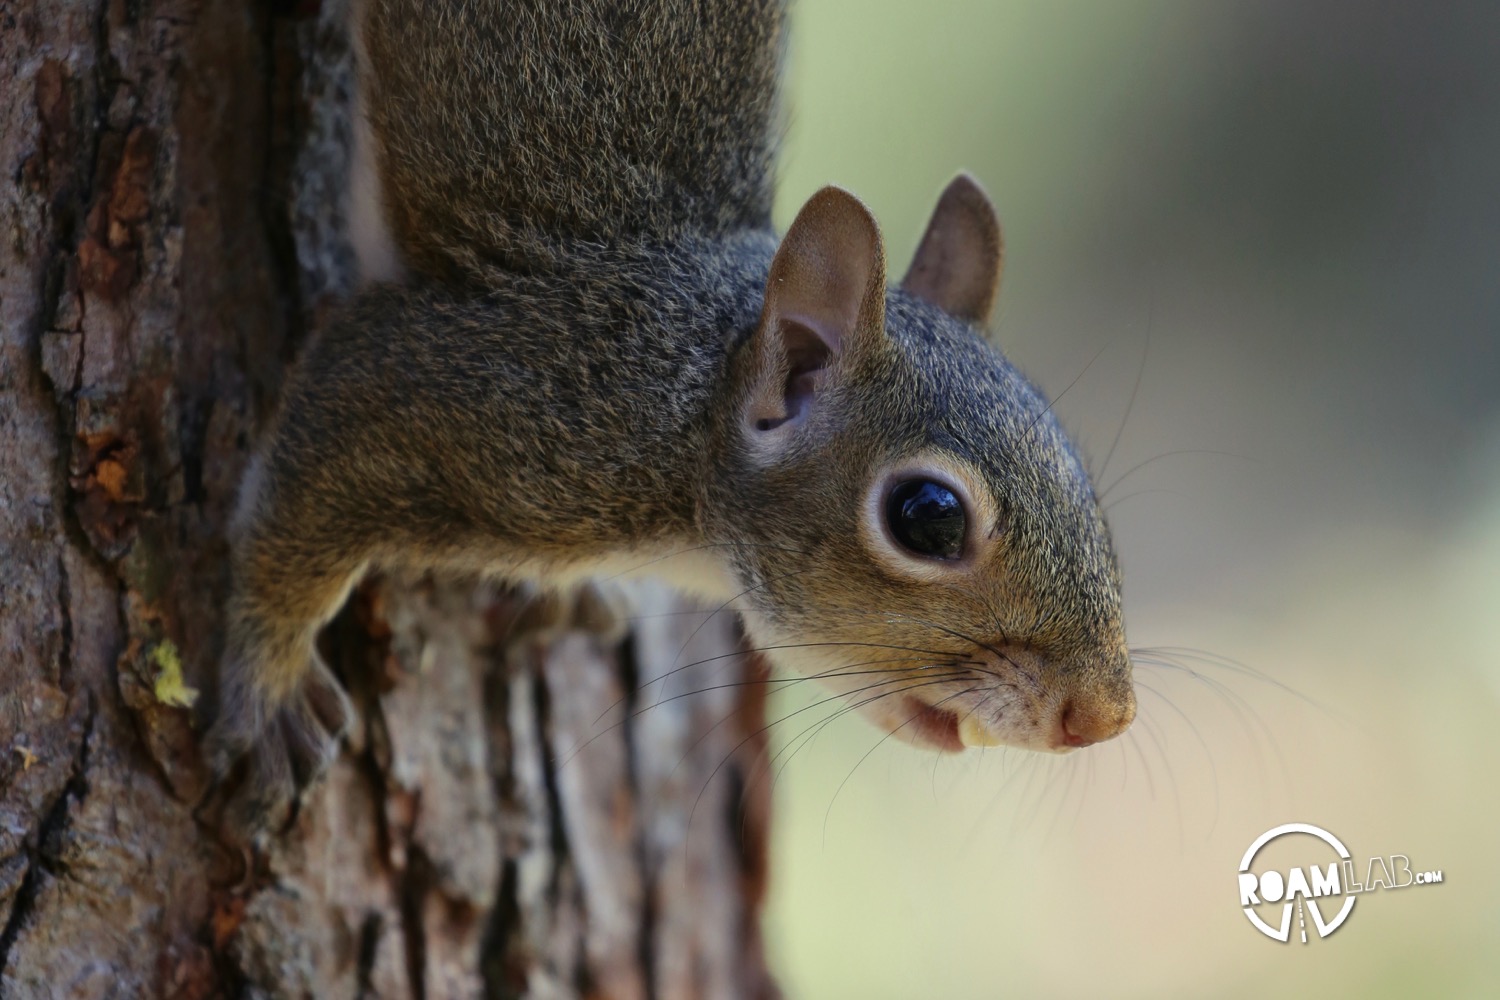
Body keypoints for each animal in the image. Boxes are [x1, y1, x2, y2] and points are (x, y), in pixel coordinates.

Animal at [202, 0, 1134, 827]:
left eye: (1082, 482)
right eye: (928, 518)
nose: (1103, 718)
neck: (684, 406)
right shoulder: (480, 399)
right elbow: (304, 496)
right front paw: (268, 685)